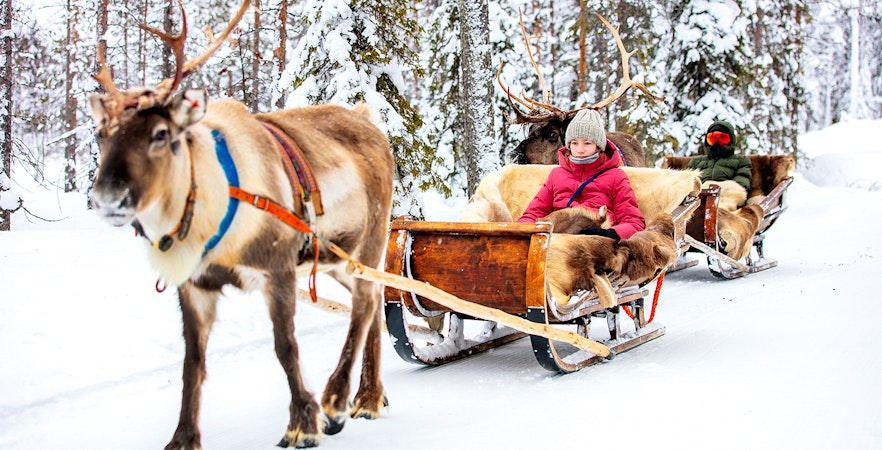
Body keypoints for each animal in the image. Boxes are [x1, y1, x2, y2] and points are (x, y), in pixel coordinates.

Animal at [86, 1, 392, 448]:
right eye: (99, 134)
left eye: (161, 133)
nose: (109, 198)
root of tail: (369, 120)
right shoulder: (194, 287)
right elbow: (192, 363)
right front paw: (183, 438)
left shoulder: (276, 269)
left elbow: (285, 347)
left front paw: (304, 423)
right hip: (334, 259)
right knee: (375, 300)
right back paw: (369, 396)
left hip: (369, 238)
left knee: (367, 301)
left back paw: (338, 399)